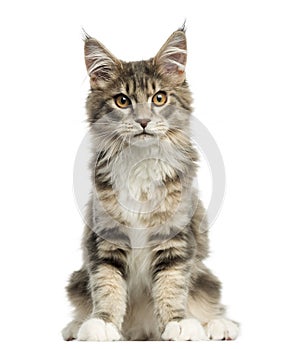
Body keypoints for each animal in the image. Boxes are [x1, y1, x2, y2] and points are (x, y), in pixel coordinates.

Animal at [61, 26, 239, 340]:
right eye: (122, 101)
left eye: (159, 98)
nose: (143, 121)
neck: (140, 164)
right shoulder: (105, 237)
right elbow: (107, 286)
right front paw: (102, 324)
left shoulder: (175, 237)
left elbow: (171, 286)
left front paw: (179, 323)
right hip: (77, 280)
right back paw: (76, 326)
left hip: (206, 279)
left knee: (208, 302)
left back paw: (218, 326)